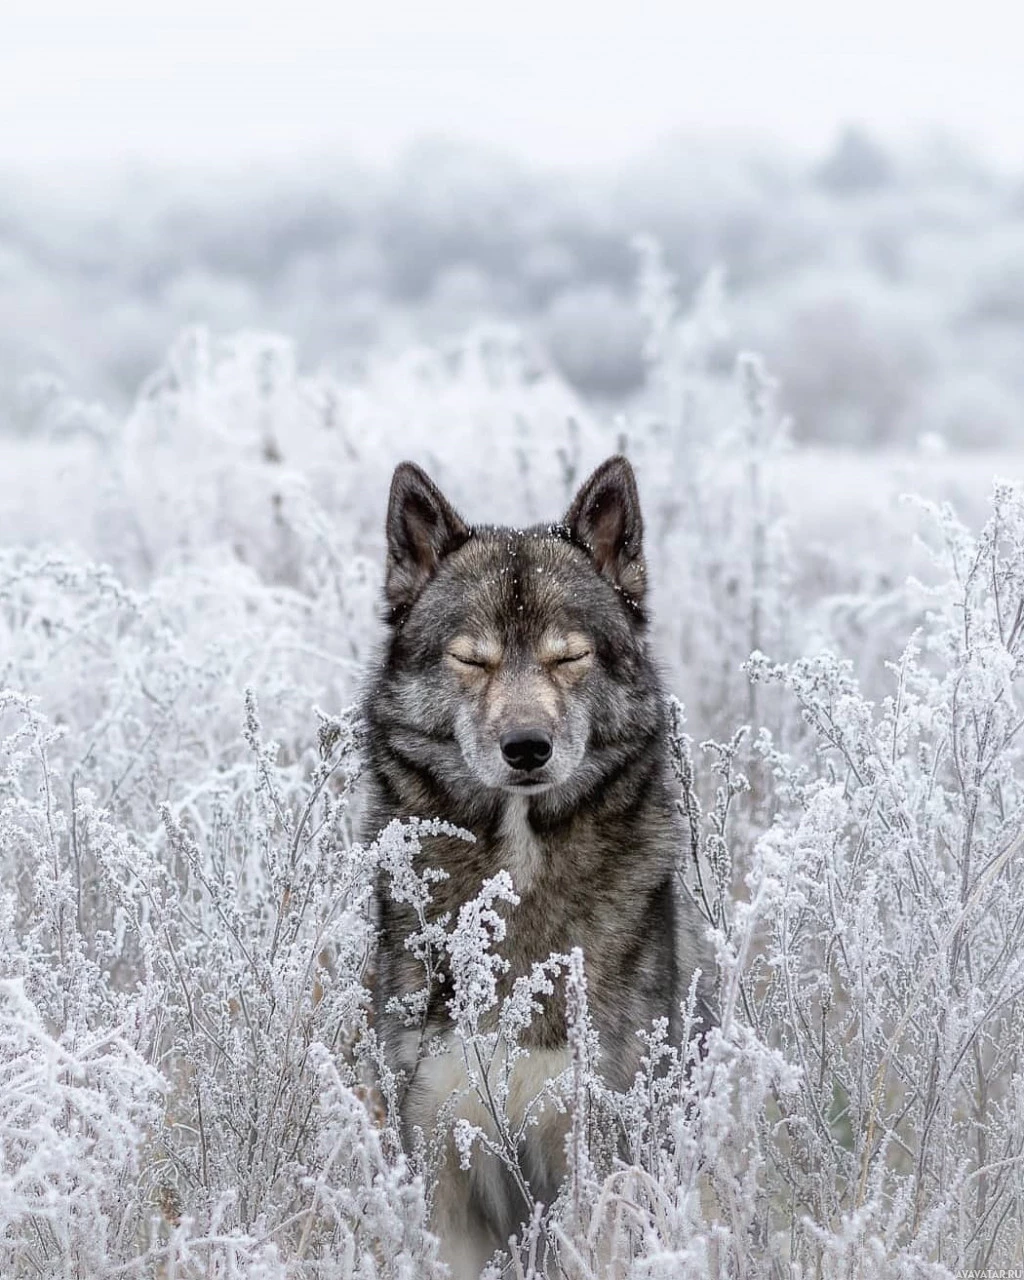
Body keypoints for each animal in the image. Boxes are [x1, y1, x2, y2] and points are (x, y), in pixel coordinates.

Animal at [363, 455, 716, 1274]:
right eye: (472, 659)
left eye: (569, 655)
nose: (527, 746)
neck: (518, 873)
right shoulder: (440, 1156)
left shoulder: (595, 1153)